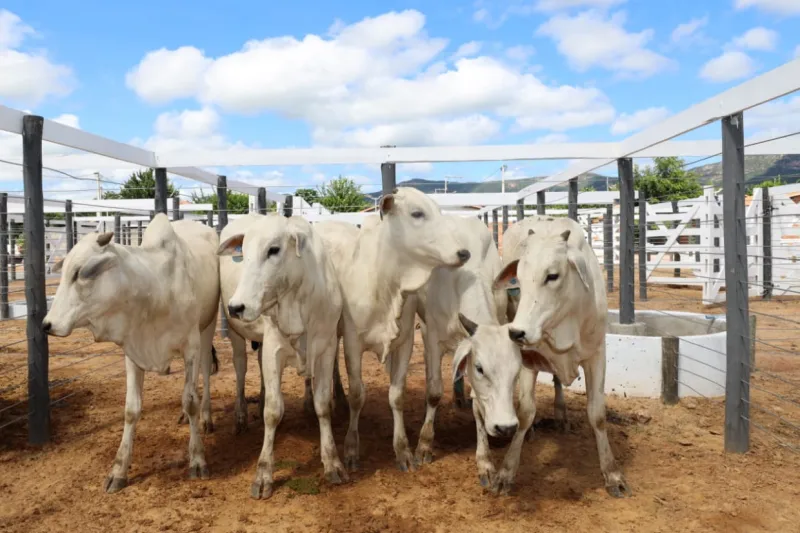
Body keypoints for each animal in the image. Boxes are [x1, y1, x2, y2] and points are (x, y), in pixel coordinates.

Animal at [42, 214, 220, 492]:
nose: (47, 325)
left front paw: (198, 459)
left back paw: (206, 417)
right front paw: (119, 470)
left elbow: (191, 399)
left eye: (81, 272)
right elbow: (131, 409)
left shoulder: (190, 346)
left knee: (204, 371)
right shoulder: (132, 352)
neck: (153, 288)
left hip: (207, 327)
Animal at [219, 212, 346, 498]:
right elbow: (272, 411)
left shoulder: (326, 348)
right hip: (235, 334)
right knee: (241, 368)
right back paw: (240, 416)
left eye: (273, 250)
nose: (236, 307)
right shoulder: (273, 350)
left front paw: (332, 461)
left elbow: (323, 405)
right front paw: (263, 474)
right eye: (243, 252)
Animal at [316, 189, 472, 472]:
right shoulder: (353, 343)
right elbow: (358, 394)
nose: (463, 253)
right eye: (417, 213)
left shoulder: (405, 342)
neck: (385, 284)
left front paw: (403, 450)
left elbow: (396, 395)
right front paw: (351, 449)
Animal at [412, 214, 506, 464]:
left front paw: (485, 459)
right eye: (481, 368)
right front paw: (424, 444)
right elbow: (434, 392)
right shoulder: (433, 338)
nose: (503, 429)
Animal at [456, 214, 632, 496]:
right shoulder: (527, 360)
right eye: (518, 278)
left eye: (552, 275)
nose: (517, 332)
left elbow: (597, 414)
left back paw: (560, 414)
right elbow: (526, 412)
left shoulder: (596, 355)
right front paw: (506, 471)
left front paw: (612, 472)